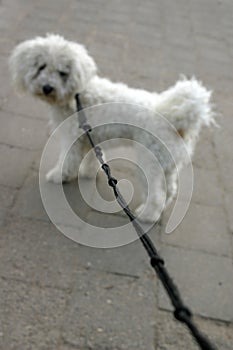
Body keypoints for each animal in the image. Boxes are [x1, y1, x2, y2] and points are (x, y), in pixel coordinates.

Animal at [10, 34, 216, 223]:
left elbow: (67, 161)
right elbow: (91, 159)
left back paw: (146, 215)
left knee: (156, 195)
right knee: (170, 190)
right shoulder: (90, 138)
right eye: (41, 67)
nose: (47, 87)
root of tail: (174, 119)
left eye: (63, 72)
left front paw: (59, 176)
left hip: (150, 162)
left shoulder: (72, 138)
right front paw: (87, 173)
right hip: (168, 163)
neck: (77, 96)